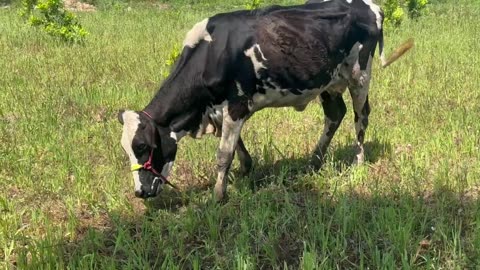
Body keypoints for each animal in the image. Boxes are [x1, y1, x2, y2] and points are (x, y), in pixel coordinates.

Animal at [116, 0, 412, 200]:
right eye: (125, 149)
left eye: (142, 146)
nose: (140, 192)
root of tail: (371, 6)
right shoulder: (223, 109)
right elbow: (235, 145)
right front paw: (246, 168)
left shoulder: (235, 105)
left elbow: (223, 154)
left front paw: (218, 195)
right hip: (327, 82)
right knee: (335, 115)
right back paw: (314, 161)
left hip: (359, 76)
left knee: (361, 117)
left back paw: (357, 163)